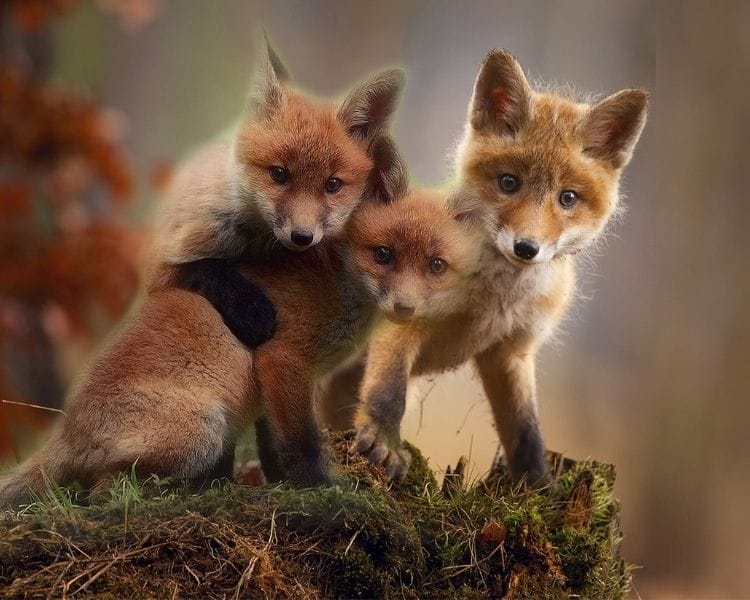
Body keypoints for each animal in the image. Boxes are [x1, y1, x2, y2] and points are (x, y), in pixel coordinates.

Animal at [0, 151, 484, 507]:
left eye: (436, 266)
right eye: (383, 254)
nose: (406, 307)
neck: (337, 281)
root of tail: (67, 430)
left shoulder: (289, 380)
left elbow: (274, 445)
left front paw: (283, 485)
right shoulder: (283, 358)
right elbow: (302, 443)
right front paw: (321, 491)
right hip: (203, 431)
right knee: (101, 492)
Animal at [147, 39, 406, 349]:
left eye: (332, 185)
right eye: (279, 174)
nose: (302, 236)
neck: (255, 243)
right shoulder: (161, 264)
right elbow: (205, 268)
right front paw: (251, 311)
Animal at [320, 49, 648, 484]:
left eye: (568, 198)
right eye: (509, 183)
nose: (527, 247)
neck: (493, 300)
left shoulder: (512, 352)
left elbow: (526, 430)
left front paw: (537, 484)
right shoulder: (404, 314)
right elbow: (388, 392)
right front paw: (384, 442)